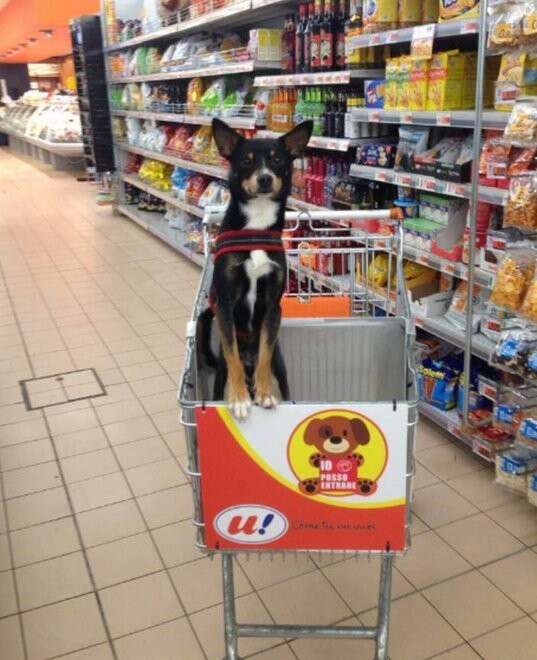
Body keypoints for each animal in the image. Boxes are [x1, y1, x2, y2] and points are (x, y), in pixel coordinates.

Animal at [199, 117, 312, 418]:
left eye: (277, 160)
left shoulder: (273, 307)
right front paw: (239, 398)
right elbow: (232, 354)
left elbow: (264, 353)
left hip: (282, 371)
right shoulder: (225, 303)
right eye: (246, 161)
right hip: (219, 378)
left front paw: (264, 394)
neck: (256, 228)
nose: (265, 178)